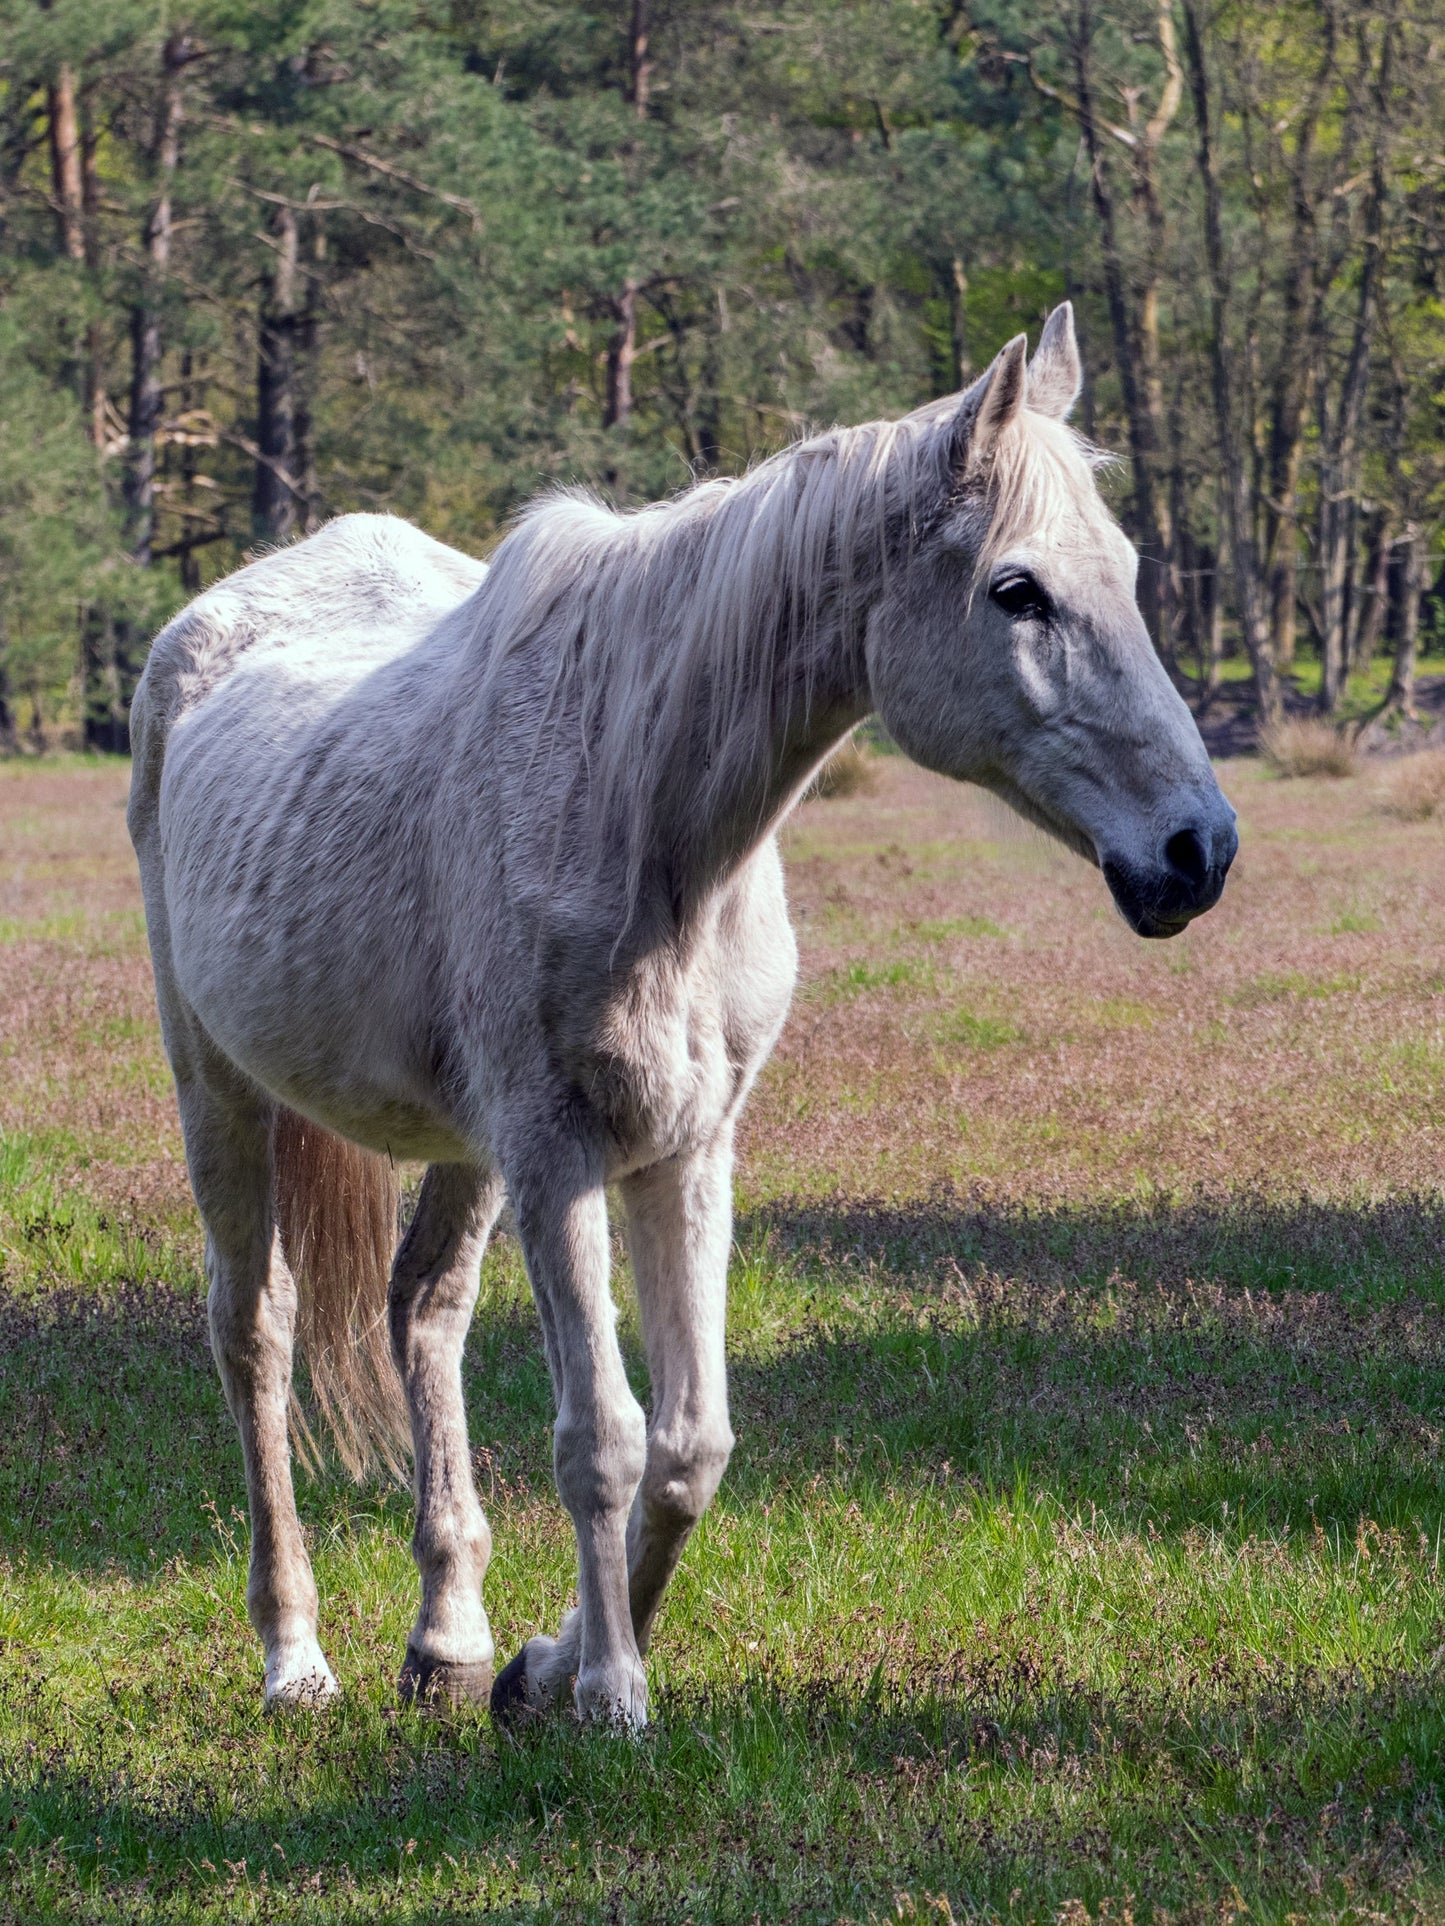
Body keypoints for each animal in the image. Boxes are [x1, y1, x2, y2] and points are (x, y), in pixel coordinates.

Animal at [127, 305, 1236, 1730]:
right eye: (1016, 591)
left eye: (1128, 571)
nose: (1194, 851)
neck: (633, 796)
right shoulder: (558, 1155)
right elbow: (599, 1439)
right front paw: (608, 1695)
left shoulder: (687, 1148)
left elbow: (690, 1443)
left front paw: (544, 1667)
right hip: (219, 1086)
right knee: (253, 1333)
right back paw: (293, 1654)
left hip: (463, 1149)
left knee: (422, 1311)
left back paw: (447, 1639)